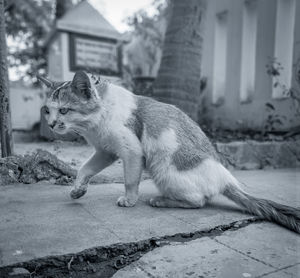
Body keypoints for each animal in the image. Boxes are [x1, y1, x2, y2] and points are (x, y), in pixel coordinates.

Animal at [38, 71, 300, 232]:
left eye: (64, 110)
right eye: (47, 110)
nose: (50, 125)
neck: (98, 118)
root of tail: (226, 178)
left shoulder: (131, 151)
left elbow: (129, 180)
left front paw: (129, 200)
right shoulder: (106, 151)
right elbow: (84, 168)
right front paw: (78, 189)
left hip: (162, 168)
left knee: (198, 201)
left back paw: (160, 200)